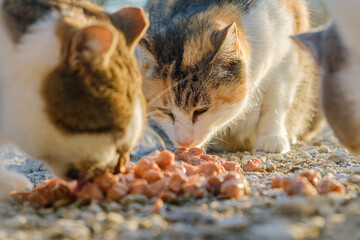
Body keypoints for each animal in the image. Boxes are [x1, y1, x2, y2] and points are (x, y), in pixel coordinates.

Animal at [136, 0, 324, 154]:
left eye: (201, 111)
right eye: (166, 112)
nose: (184, 142)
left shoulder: (287, 55)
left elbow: (277, 99)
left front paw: (271, 136)